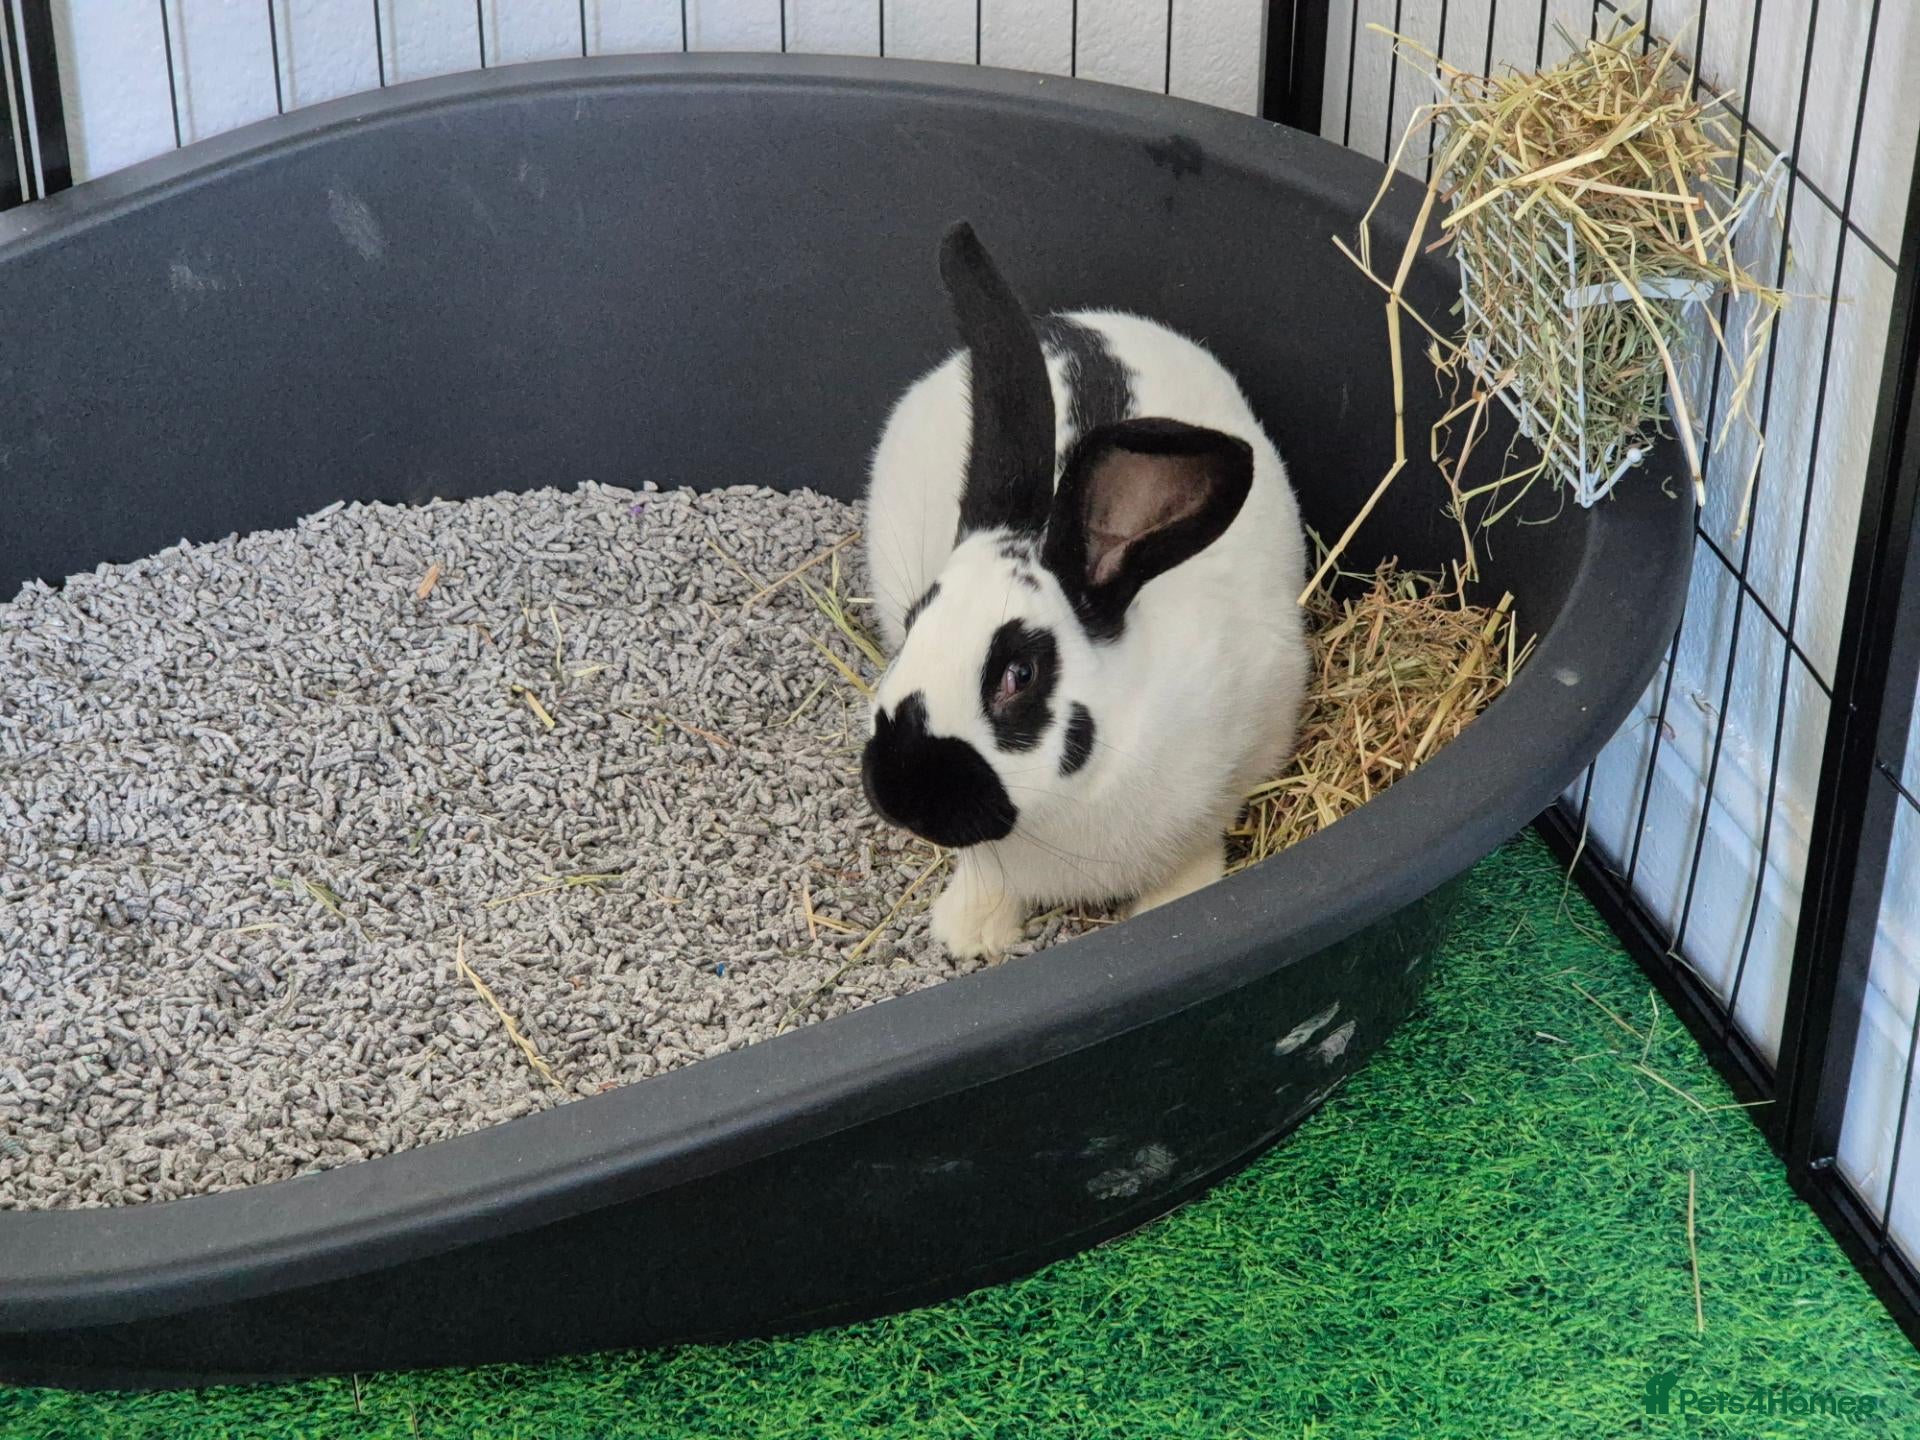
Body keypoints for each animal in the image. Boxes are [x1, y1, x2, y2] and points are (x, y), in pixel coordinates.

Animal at [859, 221, 1309, 959]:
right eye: (915, 621)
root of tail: (1065, 323)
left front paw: (1173, 906)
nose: (900, 791)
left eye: (1019, 673)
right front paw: (970, 931)